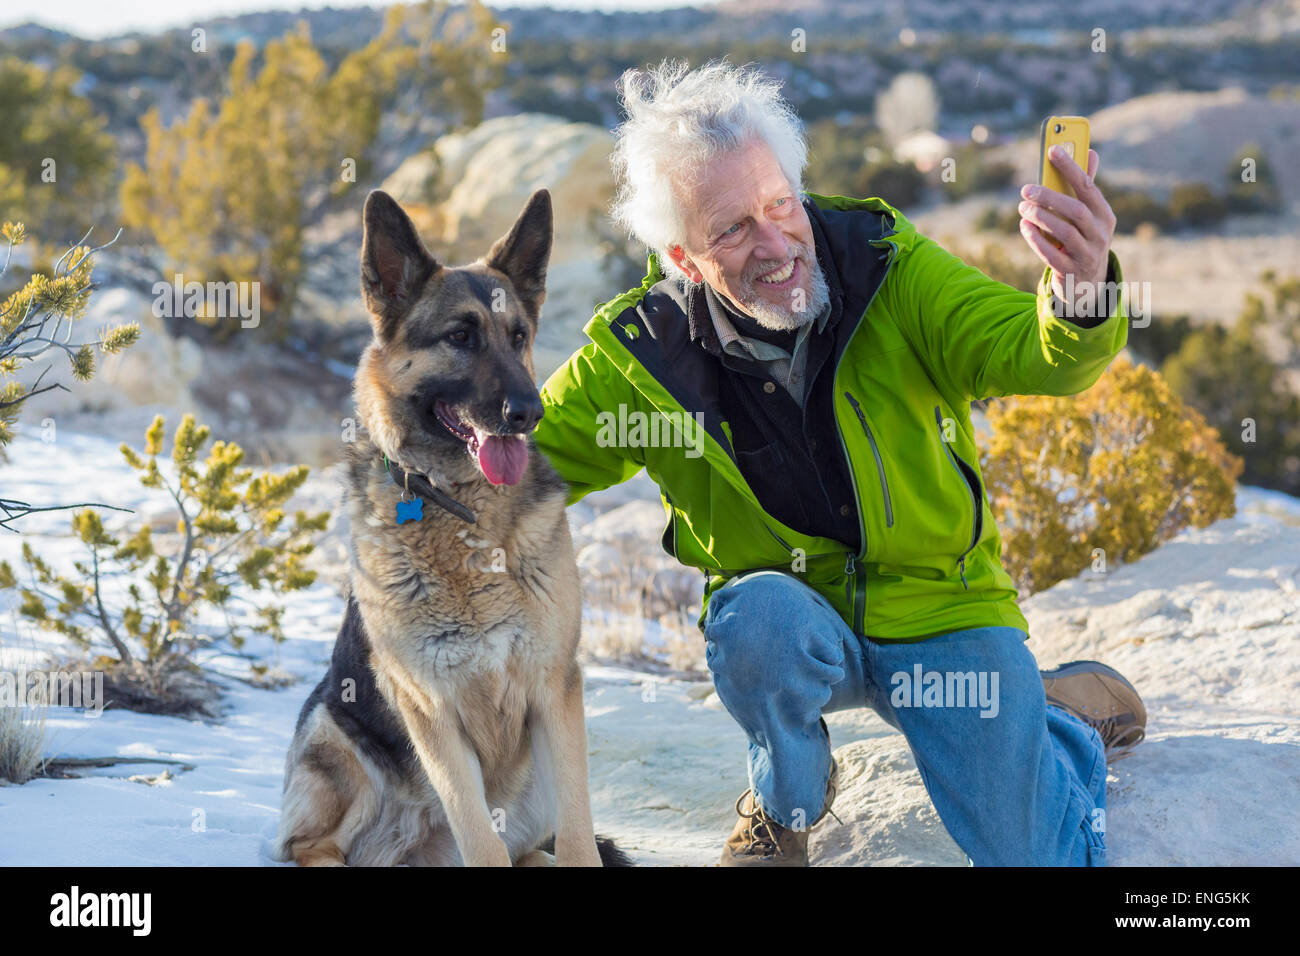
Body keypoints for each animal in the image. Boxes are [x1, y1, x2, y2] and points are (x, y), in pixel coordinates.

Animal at [273, 187, 618, 868]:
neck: (459, 507)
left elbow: (576, 834)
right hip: (334, 734)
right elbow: (479, 839)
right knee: (308, 844)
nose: (529, 412)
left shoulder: (555, 692)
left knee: (531, 849)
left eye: (519, 336)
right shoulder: (431, 710)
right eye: (461, 336)